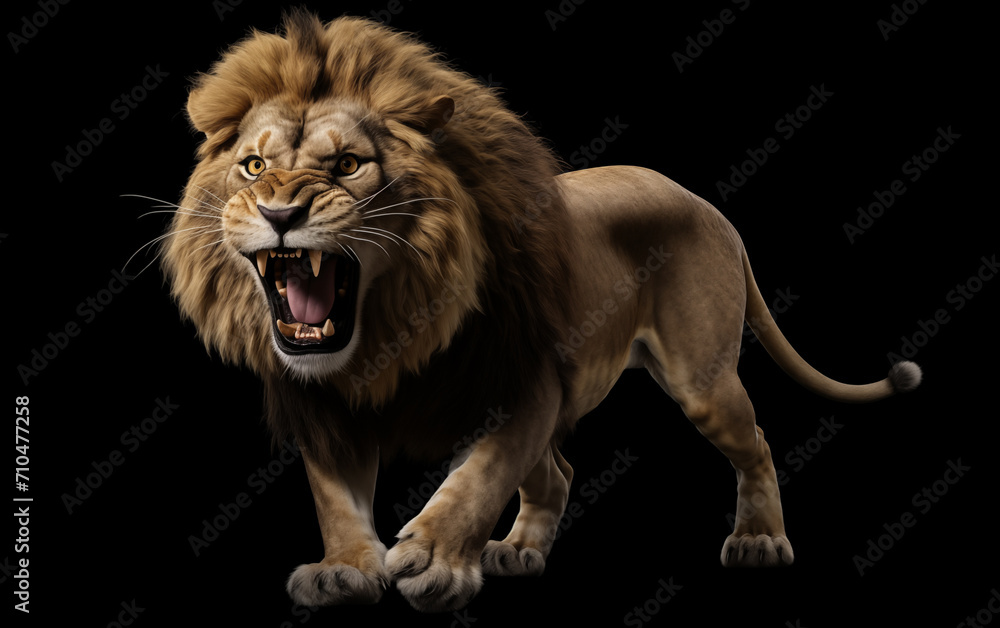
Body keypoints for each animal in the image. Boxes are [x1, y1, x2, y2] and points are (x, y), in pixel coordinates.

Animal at [161, 11, 922, 613]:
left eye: (348, 164)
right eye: (254, 167)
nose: (279, 214)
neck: (388, 335)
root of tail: (708, 207)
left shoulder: (525, 383)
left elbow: (479, 477)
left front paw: (435, 559)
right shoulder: (324, 410)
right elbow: (336, 500)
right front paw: (346, 570)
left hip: (702, 381)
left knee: (755, 440)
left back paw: (760, 540)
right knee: (557, 474)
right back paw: (519, 550)